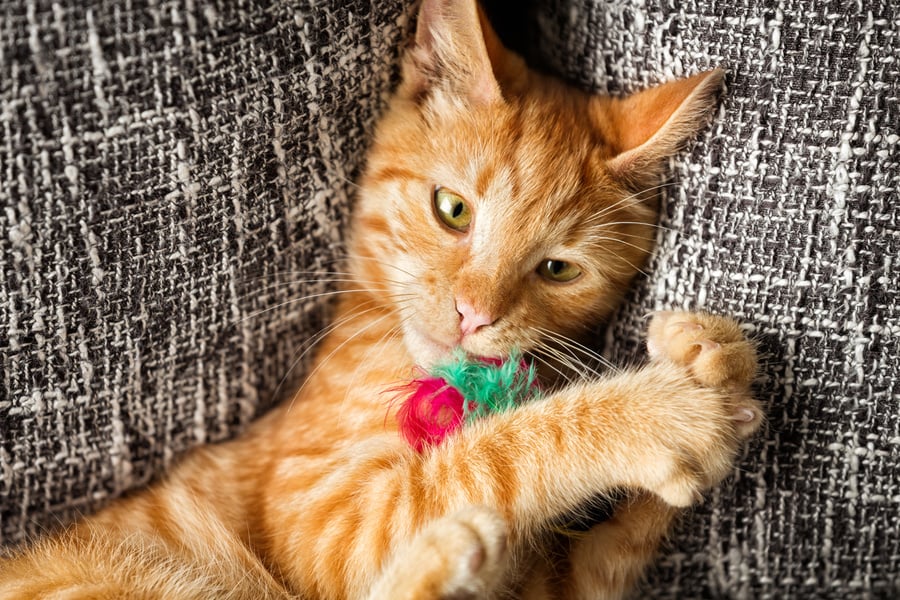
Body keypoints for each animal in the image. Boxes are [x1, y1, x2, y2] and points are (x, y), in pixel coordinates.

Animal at [0, 1, 760, 600]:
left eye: (557, 269)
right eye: (453, 210)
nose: (473, 315)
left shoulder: (561, 587)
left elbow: (603, 560)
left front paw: (714, 363)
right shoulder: (321, 517)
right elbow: (494, 457)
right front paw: (656, 414)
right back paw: (453, 556)